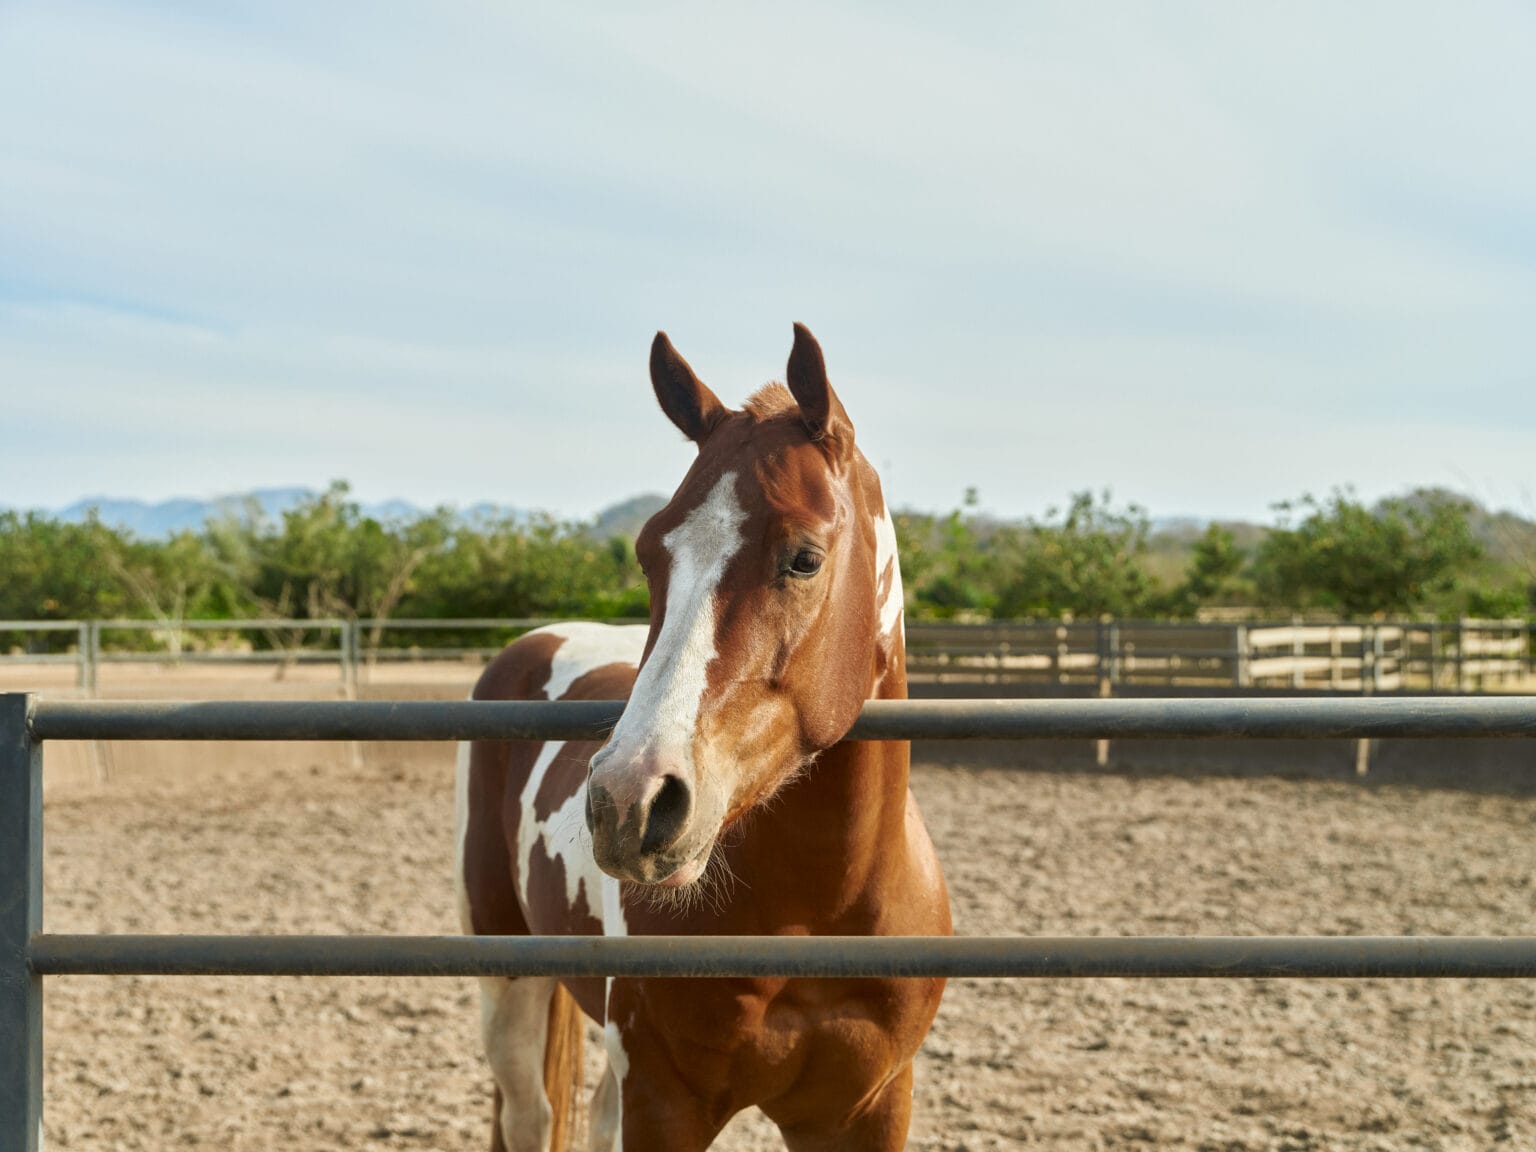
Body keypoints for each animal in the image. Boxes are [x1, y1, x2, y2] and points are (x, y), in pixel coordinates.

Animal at [455, 323, 952, 1151]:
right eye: (649, 554)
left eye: (804, 558)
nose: (628, 803)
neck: (811, 916)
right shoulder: (665, 1102)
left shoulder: (872, 1107)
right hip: (509, 978)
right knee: (531, 1114)